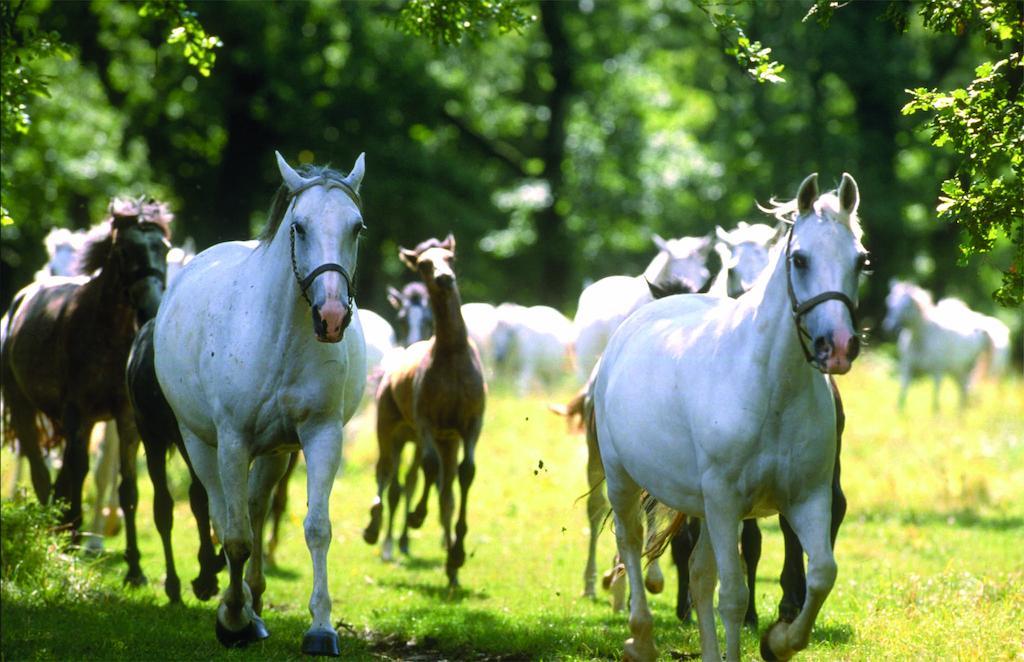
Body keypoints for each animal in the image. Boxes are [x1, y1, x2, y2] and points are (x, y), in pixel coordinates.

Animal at [2, 199, 169, 536]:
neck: (107, 334)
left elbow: (126, 485)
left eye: (164, 249)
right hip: (24, 408)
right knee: (40, 471)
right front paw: (74, 534)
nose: (151, 307)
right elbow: (77, 474)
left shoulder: (123, 416)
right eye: (124, 251)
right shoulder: (76, 413)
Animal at [362, 235, 485, 590]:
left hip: (445, 439)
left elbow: (465, 474)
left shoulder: (470, 425)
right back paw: (375, 530)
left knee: (441, 488)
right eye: (424, 264)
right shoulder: (425, 421)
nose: (445, 278)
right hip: (390, 427)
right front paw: (416, 518)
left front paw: (456, 554)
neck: (451, 354)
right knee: (386, 473)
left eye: (450, 258)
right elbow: (425, 470)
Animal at [880, 282, 991, 411]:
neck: (921, 339)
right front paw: (899, 411)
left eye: (907, 306)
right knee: (963, 389)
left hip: (965, 370)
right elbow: (903, 390)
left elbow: (935, 397)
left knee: (964, 390)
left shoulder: (937, 372)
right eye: (889, 302)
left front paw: (936, 414)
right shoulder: (907, 367)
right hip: (956, 371)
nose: (889, 328)